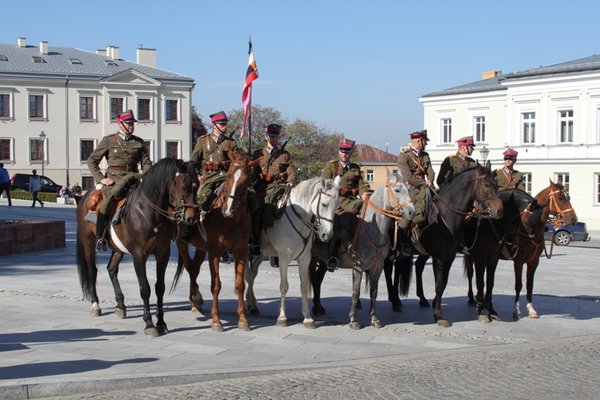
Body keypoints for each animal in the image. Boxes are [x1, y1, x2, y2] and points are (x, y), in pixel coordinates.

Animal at [76, 158, 198, 336]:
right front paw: (149, 324)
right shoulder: (139, 255)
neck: (150, 214)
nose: (191, 218)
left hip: (118, 248)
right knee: (93, 271)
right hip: (88, 243)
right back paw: (95, 304)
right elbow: (145, 288)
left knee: (112, 269)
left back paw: (120, 305)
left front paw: (161, 322)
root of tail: (85, 197)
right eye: (183, 186)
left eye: (197, 184)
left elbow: (160, 287)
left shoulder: (163, 254)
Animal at [172, 150, 252, 332]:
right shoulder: (215, 252)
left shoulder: (241, 251)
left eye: (245, 180)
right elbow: (216, 285)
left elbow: (240, 284)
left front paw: (243, 319)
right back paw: (195, 297)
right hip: (181, 242)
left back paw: (195, 302)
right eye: (228, 176)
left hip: (201, 248)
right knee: (190, 268)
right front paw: (216, 320)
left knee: (194, 268)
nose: (228, 209)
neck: (232, 220)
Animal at [243, 177, 338, 328]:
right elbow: (284, 286)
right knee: (248, 275)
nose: (326, 235)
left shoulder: (305, 259)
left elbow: (304, 286)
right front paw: (282, 317)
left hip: (259, 254)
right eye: (324, 204)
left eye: (336, 206)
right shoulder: (283, 258)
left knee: (252, 275)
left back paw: (253, 305)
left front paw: (307, 317)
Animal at [310, 173, 412, 330]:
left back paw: (319, 307)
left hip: (323, 261)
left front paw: (375, 319)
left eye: (408, 189)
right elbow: (356, 291)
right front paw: (353, 320)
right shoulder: (358, 266)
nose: (412, 211)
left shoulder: (377, 266)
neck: (374, 226)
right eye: (397, 190)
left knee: (317, 280)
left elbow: (374, 292)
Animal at [466, 180, 580, 320]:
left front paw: (531, 309)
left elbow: (529, 284)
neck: (529, 228)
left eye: (568, 197)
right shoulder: (518, 261)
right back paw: (472, 299)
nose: (574, 219)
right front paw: (516, 310)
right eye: (560, 198)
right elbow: (518, 285)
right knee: (470, 274)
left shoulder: (534, 261)